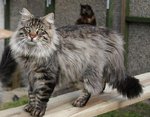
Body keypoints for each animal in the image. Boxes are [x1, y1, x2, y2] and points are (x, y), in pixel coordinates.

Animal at [7, 7, 143, 116]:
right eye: (28, 29)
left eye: (40, 31)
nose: (32, 36)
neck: (32, 53)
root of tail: (108, 32)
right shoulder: (30, 75)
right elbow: (32, 93)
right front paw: (31, 106)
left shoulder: (47, 75)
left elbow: (42, 95)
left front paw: (38, 110)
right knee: (101, 82)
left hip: (86, 71)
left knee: (92, 87)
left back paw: (80, 101)